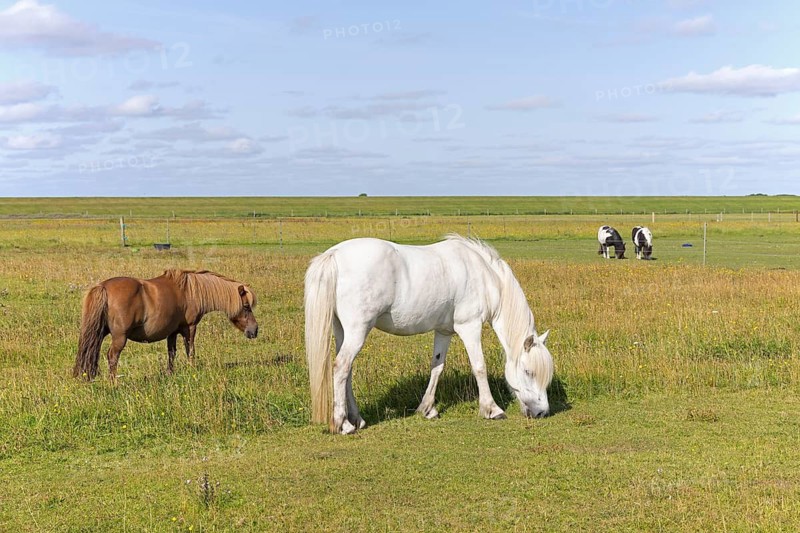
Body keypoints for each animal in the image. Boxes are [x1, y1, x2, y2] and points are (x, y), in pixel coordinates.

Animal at [73, 269, 258, 380]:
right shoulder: (190, 328)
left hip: (99, 333)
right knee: (112, 356)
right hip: (119, 338)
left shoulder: (172, 332)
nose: (255, 330)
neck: (190, 291)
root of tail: (103, 286)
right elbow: (190, 350)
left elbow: (172, 353)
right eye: (246, 306)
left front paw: (170, 373)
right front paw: (192, 370)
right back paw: (114, 383)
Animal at [305, 234, 554, 435]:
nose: (542, 412)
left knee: (346, 372)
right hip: (358, 330)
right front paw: (492, 409)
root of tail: (334, 255)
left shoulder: (444, 331)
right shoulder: (469, 327)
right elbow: (479, 367)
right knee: (341, 367)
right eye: (529, 371)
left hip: (342, 331)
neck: (485, 276)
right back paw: (343, 424)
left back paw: (357, 419)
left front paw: (427, 409)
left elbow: (437, 367)